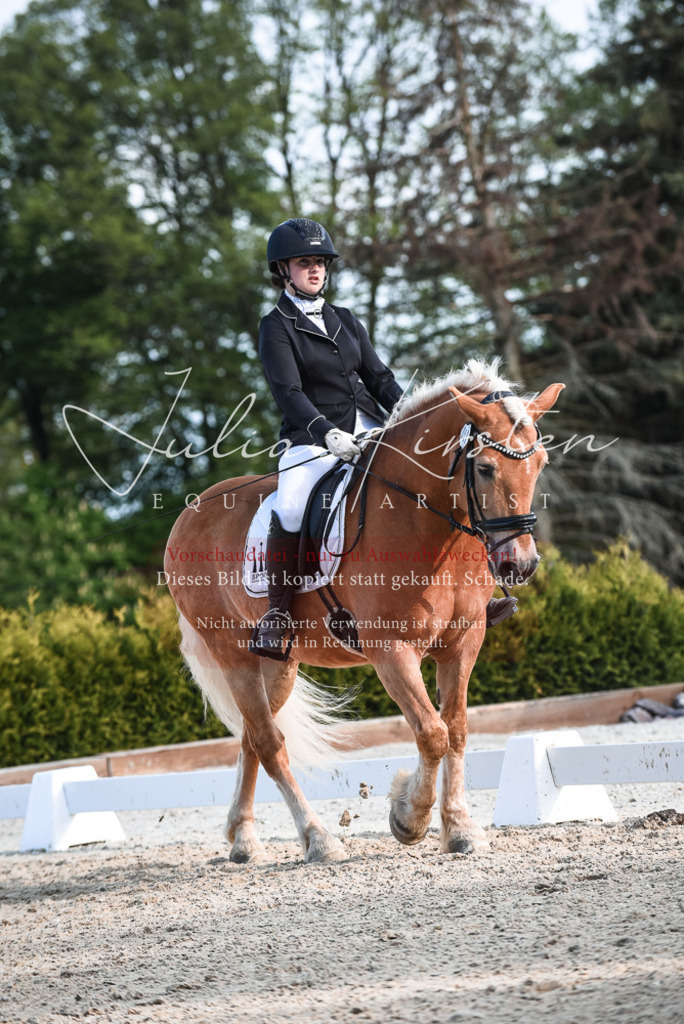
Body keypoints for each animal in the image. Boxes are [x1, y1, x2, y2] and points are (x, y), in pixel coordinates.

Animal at [164, 360, 564, 863]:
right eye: (486, 468)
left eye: (541, 463)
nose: (520, 565)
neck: (427, 524)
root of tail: (189, 514)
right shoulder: (391, 651)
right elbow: (431, 732)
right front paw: (408, 818)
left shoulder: (463, 644)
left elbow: (455, 730)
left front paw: (459, 829)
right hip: (232, 653)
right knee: (270, 743)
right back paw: (318, 839)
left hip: (278, 664)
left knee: (253, 736)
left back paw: (244, 839)